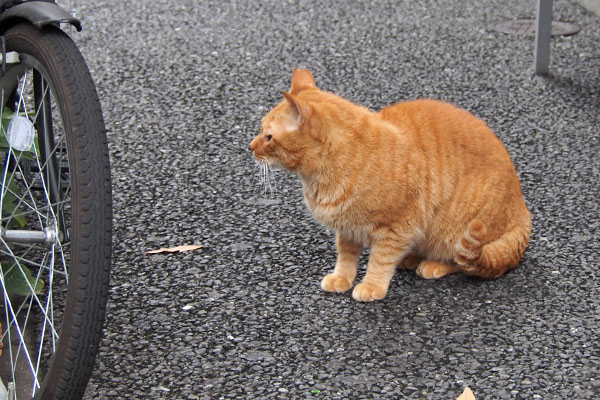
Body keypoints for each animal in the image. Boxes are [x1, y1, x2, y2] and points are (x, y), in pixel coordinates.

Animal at [251, 69, 532, 302]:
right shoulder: (347, 228)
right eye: (261, 130)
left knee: (462, 257)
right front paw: (342, 278)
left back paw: (434, 264)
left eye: (269, 137)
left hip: (455, 227)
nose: (251, 147)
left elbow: (380, 260)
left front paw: (371, 285)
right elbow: (346, 257)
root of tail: (524, 212)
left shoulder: (398, 227)